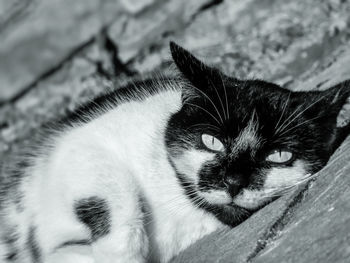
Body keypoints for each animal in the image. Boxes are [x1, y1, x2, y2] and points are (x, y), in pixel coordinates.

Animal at [0, 42, 348, 262]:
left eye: (278, 156)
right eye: (211, 141)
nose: (233, 182)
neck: (180, 204)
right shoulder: (78, 146)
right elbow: (120, 205)